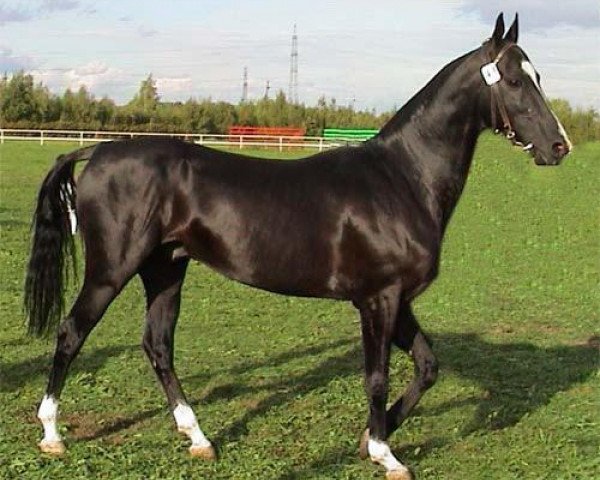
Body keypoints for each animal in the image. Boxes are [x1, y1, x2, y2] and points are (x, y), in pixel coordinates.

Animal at [24, 13, 572, 478]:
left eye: (537, 75)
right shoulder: (378, 300)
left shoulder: (398, 300)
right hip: (111, 270)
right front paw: (385, 452)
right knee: (71, 333)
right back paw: (52, 435)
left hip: (166, 268)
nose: (559, 146)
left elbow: (427, 365)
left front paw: (373, 436)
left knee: (157, 346)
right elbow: (376, 377)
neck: (400, 180)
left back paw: (199, 438)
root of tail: (98, 150)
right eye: (516, 81)